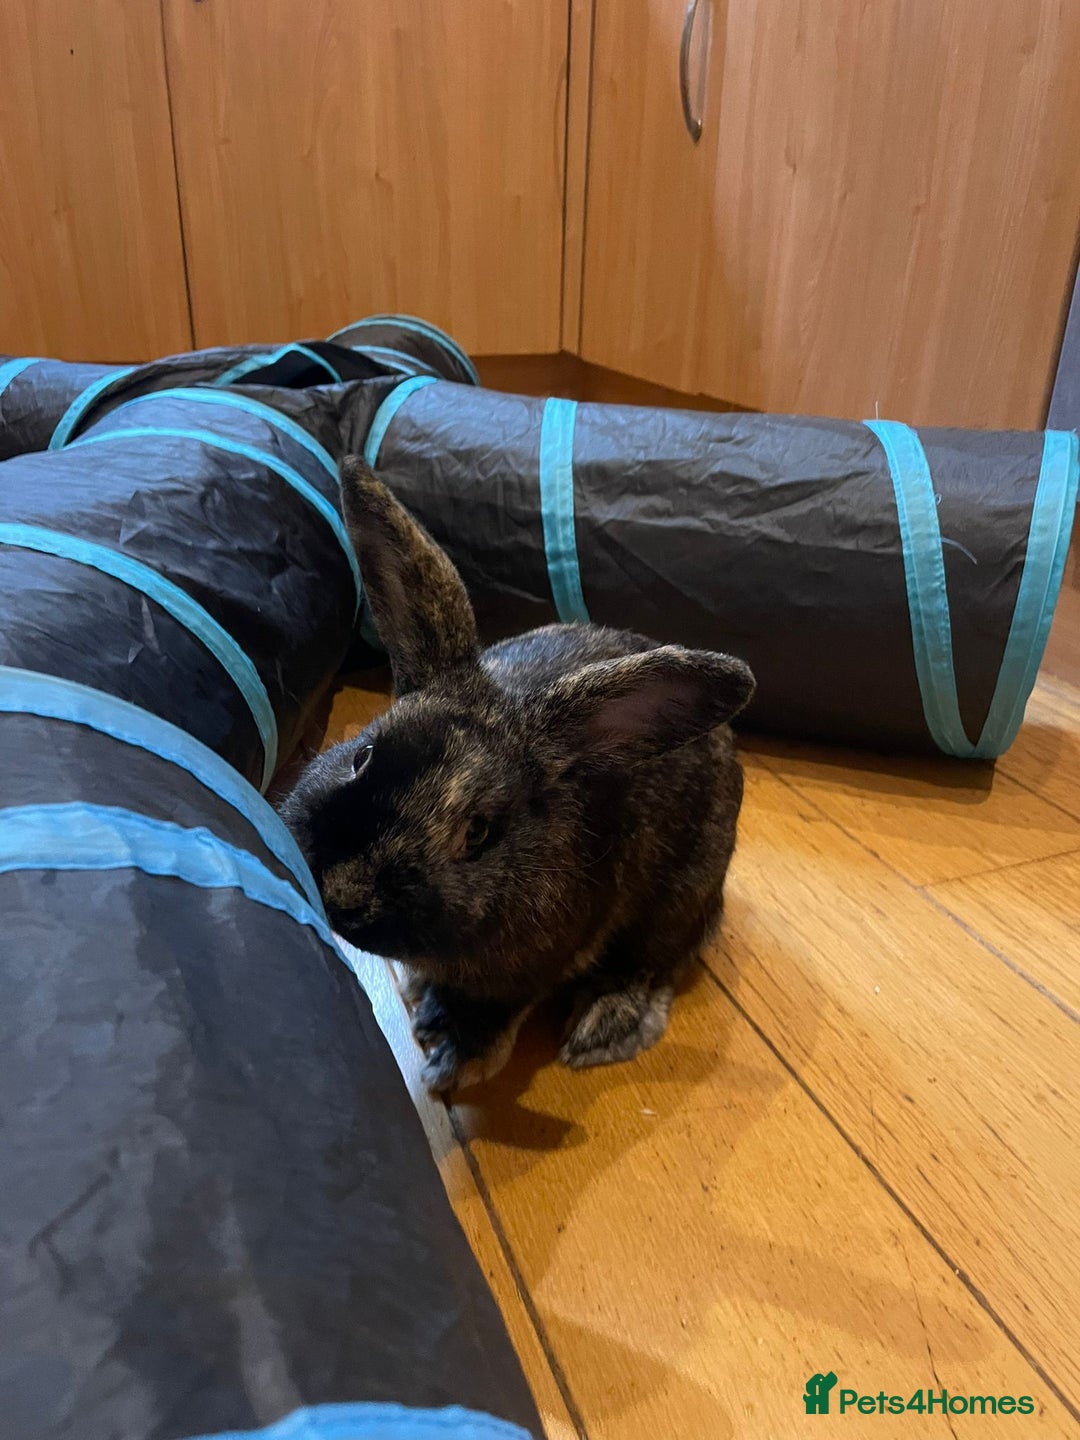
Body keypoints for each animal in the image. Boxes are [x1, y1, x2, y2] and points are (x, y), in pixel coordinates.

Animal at [279, 458, 755, 1093]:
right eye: (364, 755)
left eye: (477, 834)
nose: (345, 894)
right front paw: (428, 1009)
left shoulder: (534, 965)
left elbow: (493, 1014)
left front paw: (450, 1066)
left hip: (678, 898)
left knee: (653, 965)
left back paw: (604, 1026)